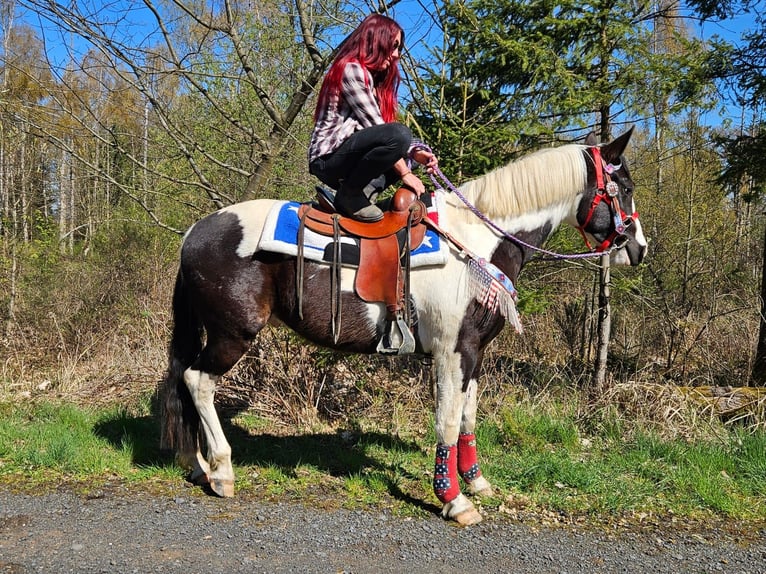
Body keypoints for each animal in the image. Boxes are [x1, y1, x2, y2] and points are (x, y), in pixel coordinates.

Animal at [160, 128, 647, 526]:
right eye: (623, 188)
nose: (638, 249)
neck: (475, 243)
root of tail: (195, 232)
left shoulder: (476, 352)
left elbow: (468, 415)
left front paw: (476, 482)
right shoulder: (453, 350)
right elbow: (447, 420)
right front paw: (454, 500)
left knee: (183, 381)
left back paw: (197, 464)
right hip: (233, 334)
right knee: (197, 380)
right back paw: (222, 470)